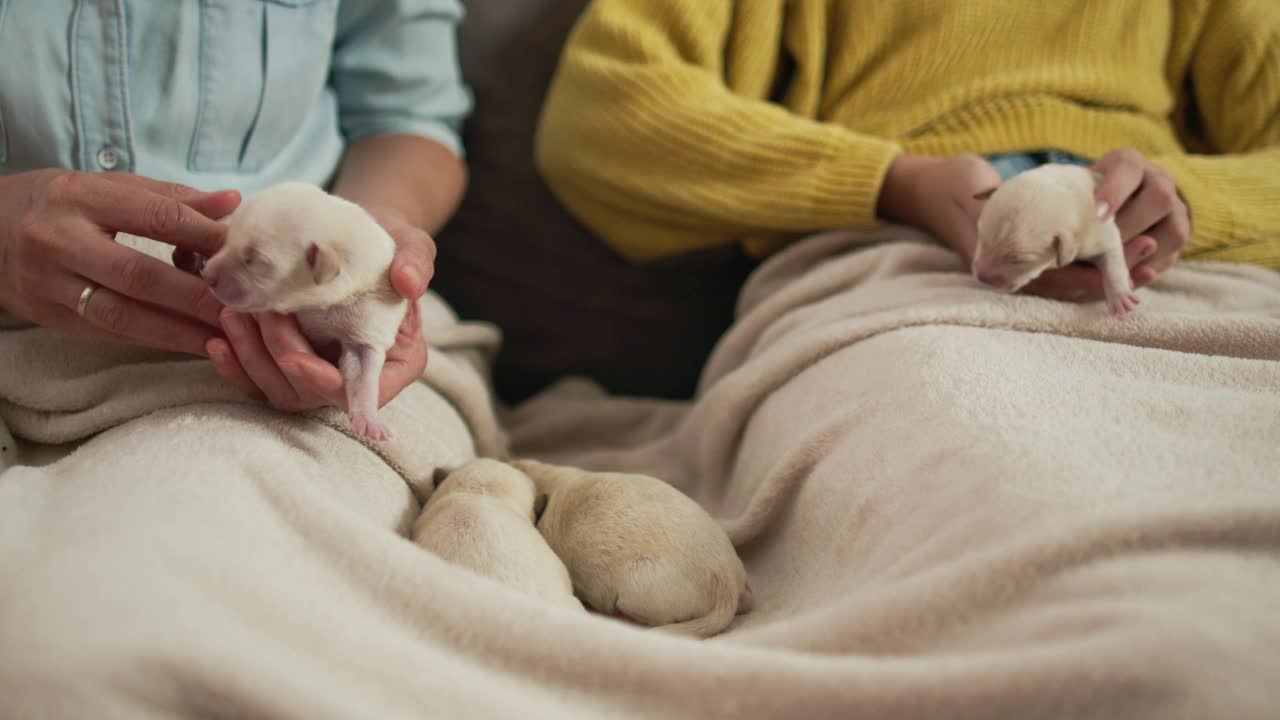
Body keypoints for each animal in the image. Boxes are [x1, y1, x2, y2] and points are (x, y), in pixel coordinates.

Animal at [202, 180, 407, 438]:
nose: (206, 274)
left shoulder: (370, 318)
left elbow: (364, 372)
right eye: (228, 241)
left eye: (252, 260)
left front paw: (369, 419)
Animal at [967, 166, 1141, 317]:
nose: (982, 277)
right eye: (981, 238)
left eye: (1019, 261)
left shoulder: (1099, 229)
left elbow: (1112, 261)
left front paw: (1121, 296)